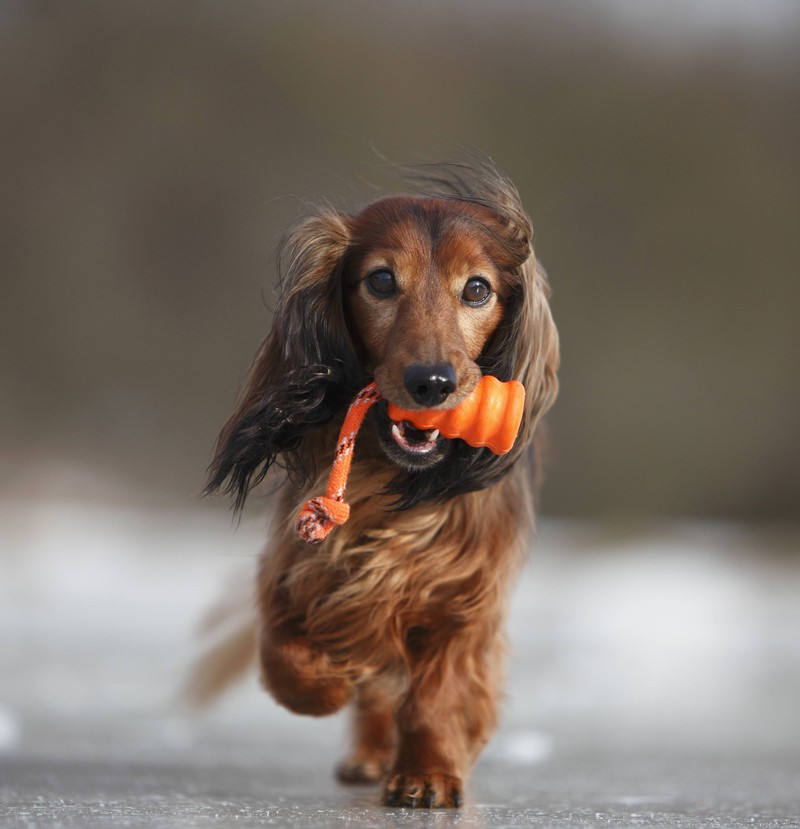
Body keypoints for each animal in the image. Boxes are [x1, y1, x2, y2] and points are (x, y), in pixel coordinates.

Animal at [203, 158, 560, 804]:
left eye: (476, 289)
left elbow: (437, 697)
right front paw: (329, 681)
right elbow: (287, 657)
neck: (398, 489)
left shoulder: (465, 599)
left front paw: (429, 773)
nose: (431, 382)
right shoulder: (299, 567)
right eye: (381, 281)